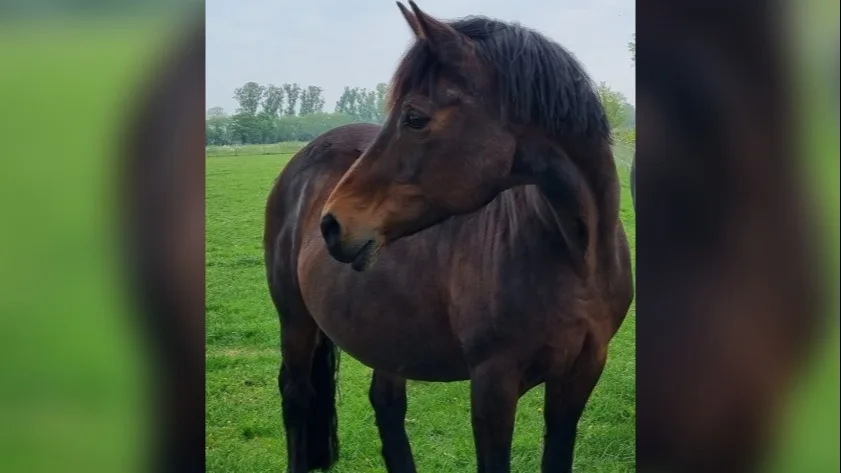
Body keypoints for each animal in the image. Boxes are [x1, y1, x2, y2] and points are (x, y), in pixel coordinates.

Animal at [263, 2, 633, 472]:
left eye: (414, 118)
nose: (331, 223)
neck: (575, 255)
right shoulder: (493, 385)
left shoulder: (580, 375)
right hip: (295, 320)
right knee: (296, 396)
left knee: (386, 404)